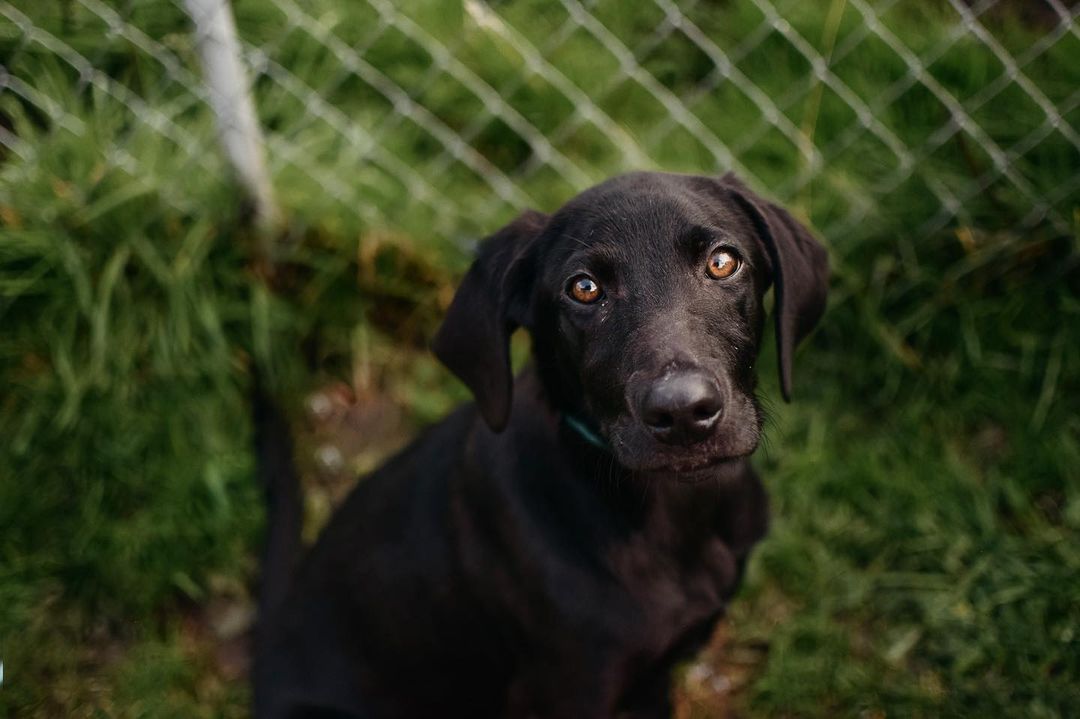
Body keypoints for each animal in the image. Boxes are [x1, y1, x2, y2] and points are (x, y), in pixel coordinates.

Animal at [250, 170, 825, 712]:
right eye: (584, 288)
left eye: (723, 262)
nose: (682, 412)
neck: (677, 515)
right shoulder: (568, 688)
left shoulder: (654, 680)